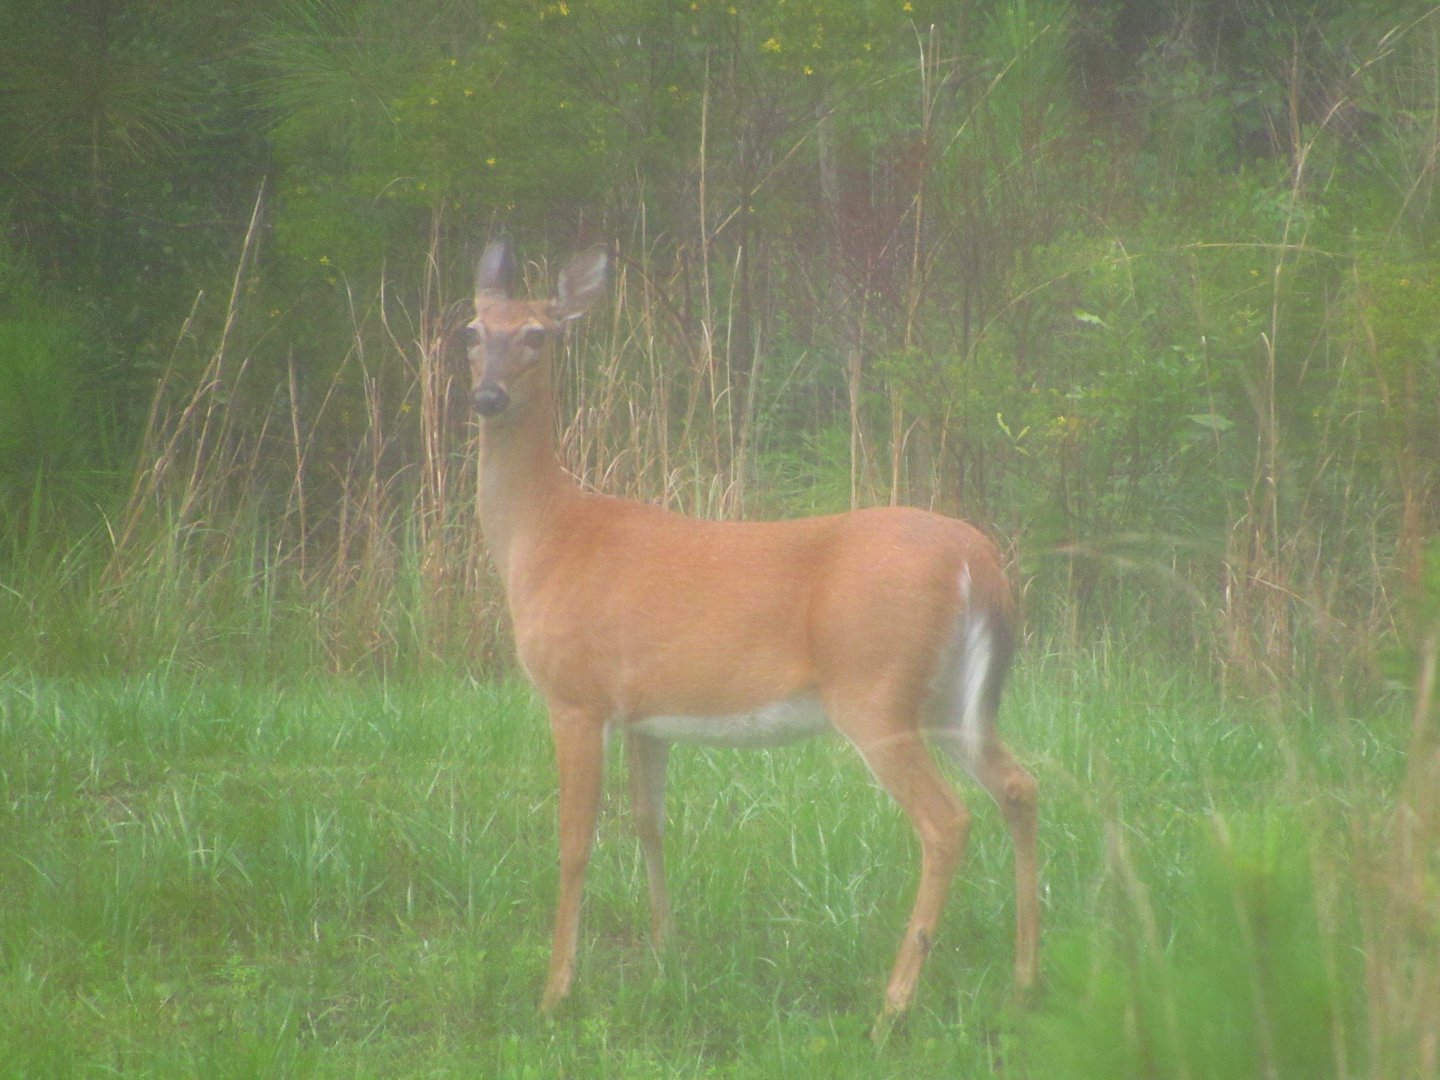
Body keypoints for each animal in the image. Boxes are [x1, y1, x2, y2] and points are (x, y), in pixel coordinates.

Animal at [465, 238, 1038, 1039]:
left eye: (537, 336)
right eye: (470, 330)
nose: (487, 397)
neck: (545, 536)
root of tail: (978, 561)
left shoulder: (575, 694)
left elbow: (574, 843)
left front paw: (556, 991)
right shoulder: (644, 713)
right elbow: (649, 823)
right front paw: (665, 952)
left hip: (875, 690)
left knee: (947, 819)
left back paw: (892, 1006)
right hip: (954, 698)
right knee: (1018, 785)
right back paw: (1023, 980)